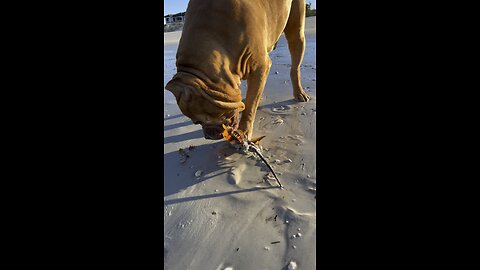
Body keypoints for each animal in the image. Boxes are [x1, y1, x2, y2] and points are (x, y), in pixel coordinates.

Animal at [166, 0, 312, 139]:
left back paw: (299, 92)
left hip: (296, 33)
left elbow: (250, 107)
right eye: (196, 122)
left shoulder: (261, 66)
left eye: (217, 114)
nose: (209, 136)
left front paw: (244, 131)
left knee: (295, 66)